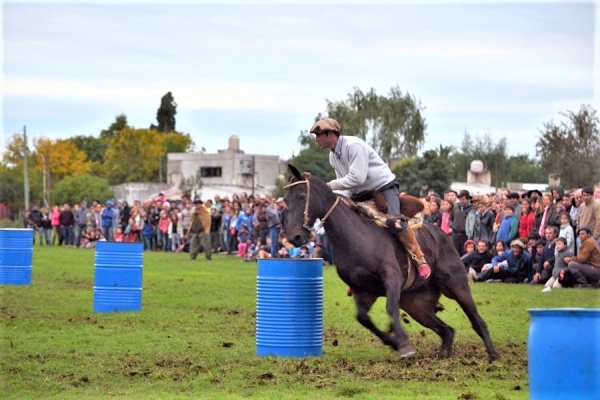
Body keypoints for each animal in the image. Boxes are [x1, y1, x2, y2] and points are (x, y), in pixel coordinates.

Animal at [284, 164, 500, 360]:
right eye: (286, 200)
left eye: (302, 196)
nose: (294, 237)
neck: (355, 236)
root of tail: (441, 236)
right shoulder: (362, 290)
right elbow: (362, 318)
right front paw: (394, 342)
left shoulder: (392, 279)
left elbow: (390, 308)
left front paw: (404, 346)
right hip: (416, 305)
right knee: (446, 330)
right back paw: (443, 355)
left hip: (456, 285)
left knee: (477, 320)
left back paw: (493, 354)